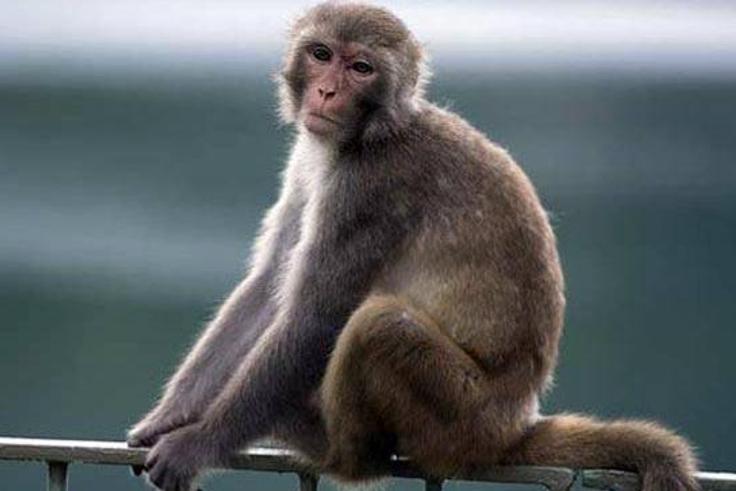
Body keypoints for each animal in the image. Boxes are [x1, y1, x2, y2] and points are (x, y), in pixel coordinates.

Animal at [127, 3, 700, 491]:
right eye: (321, 55)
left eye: (361, 68)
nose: (326, 93)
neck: (370, 133)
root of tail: (516, 423)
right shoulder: (311, 161)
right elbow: (269, 286)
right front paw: (169, 416)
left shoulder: (370, 188)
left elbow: (314, 316)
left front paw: (198, 443)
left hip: (463, 415)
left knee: (381, 326)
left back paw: (336, 450)